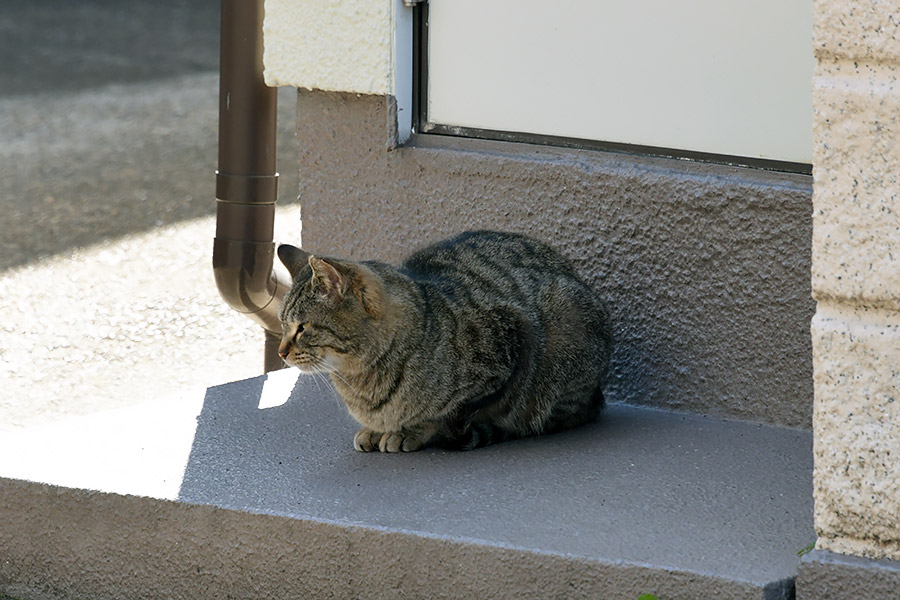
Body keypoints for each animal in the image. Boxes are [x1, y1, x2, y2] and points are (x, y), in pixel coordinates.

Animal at [276, 232, 612, 452]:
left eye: (302, 327)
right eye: (283, 324)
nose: (280, 352)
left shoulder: (510, 347)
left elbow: (446, 415)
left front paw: (411, 432)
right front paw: (375, 430)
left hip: (563, 323)